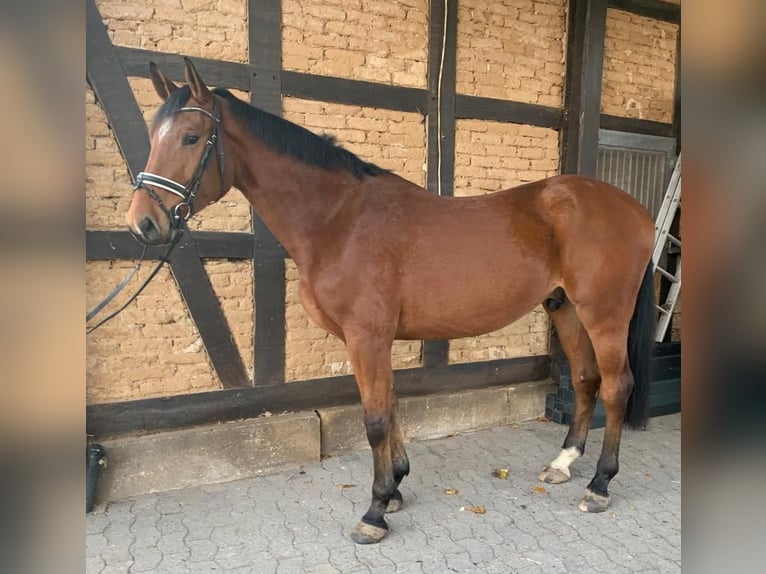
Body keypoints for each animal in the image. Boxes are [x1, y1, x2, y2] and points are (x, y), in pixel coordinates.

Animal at [125, 58, 656, 544]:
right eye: (153, 134)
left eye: (191, 137)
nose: (143, 223)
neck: (339, 220)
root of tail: (635, 209)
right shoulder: (372, 340)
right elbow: (393, 406)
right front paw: (397, 486)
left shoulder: (367, 336)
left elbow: (376, 418)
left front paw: (376, 509)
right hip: (565, 309)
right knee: (587, 380)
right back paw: (563, 463)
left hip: (605, 314)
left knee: (617, 386)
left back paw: (600, 485)